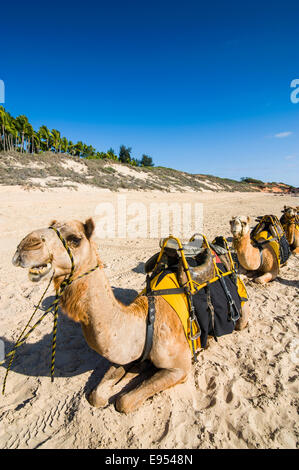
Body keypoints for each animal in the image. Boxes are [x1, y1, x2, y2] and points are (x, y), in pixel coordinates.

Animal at [11, 218, 250, 414]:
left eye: (74, 239)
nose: (25, 246)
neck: (145, 321)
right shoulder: (126, 354)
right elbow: (97, 396)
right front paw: (134, 372)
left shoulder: (180, 367)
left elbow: (123, 401)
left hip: (241, 310)